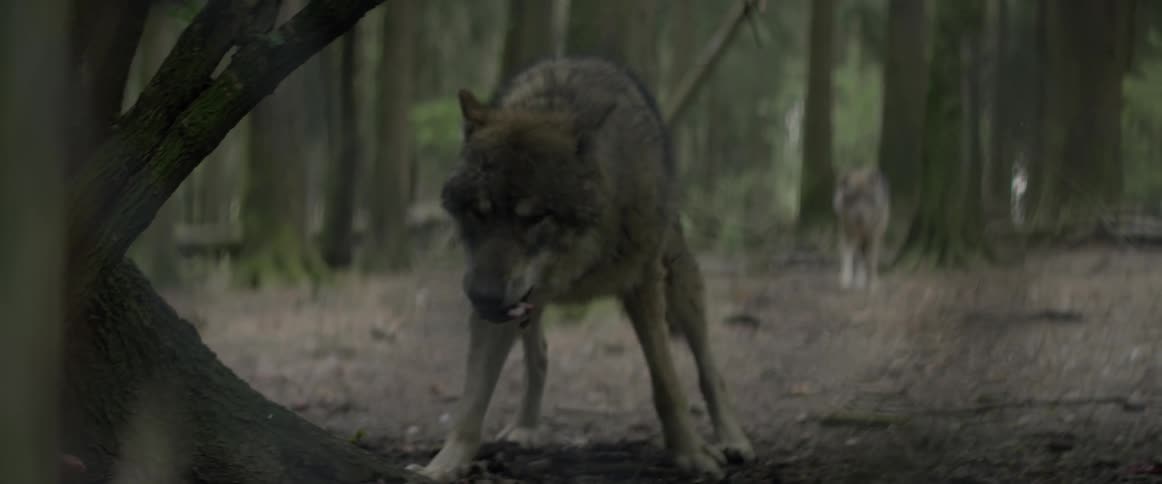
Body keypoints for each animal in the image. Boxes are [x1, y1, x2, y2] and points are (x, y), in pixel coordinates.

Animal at [405, 58, 754, 482]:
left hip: (680, 283)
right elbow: (471, 402)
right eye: (479, 211)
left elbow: (668, 382)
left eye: (534, 217)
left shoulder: (643, 285)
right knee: (539, 356)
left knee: (709, 369)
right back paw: (526, 427)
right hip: (526, 304)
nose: (482, 297)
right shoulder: (500, 301)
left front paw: (691, 453)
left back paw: (734, 439)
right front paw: (441, 467)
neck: (578, 266)